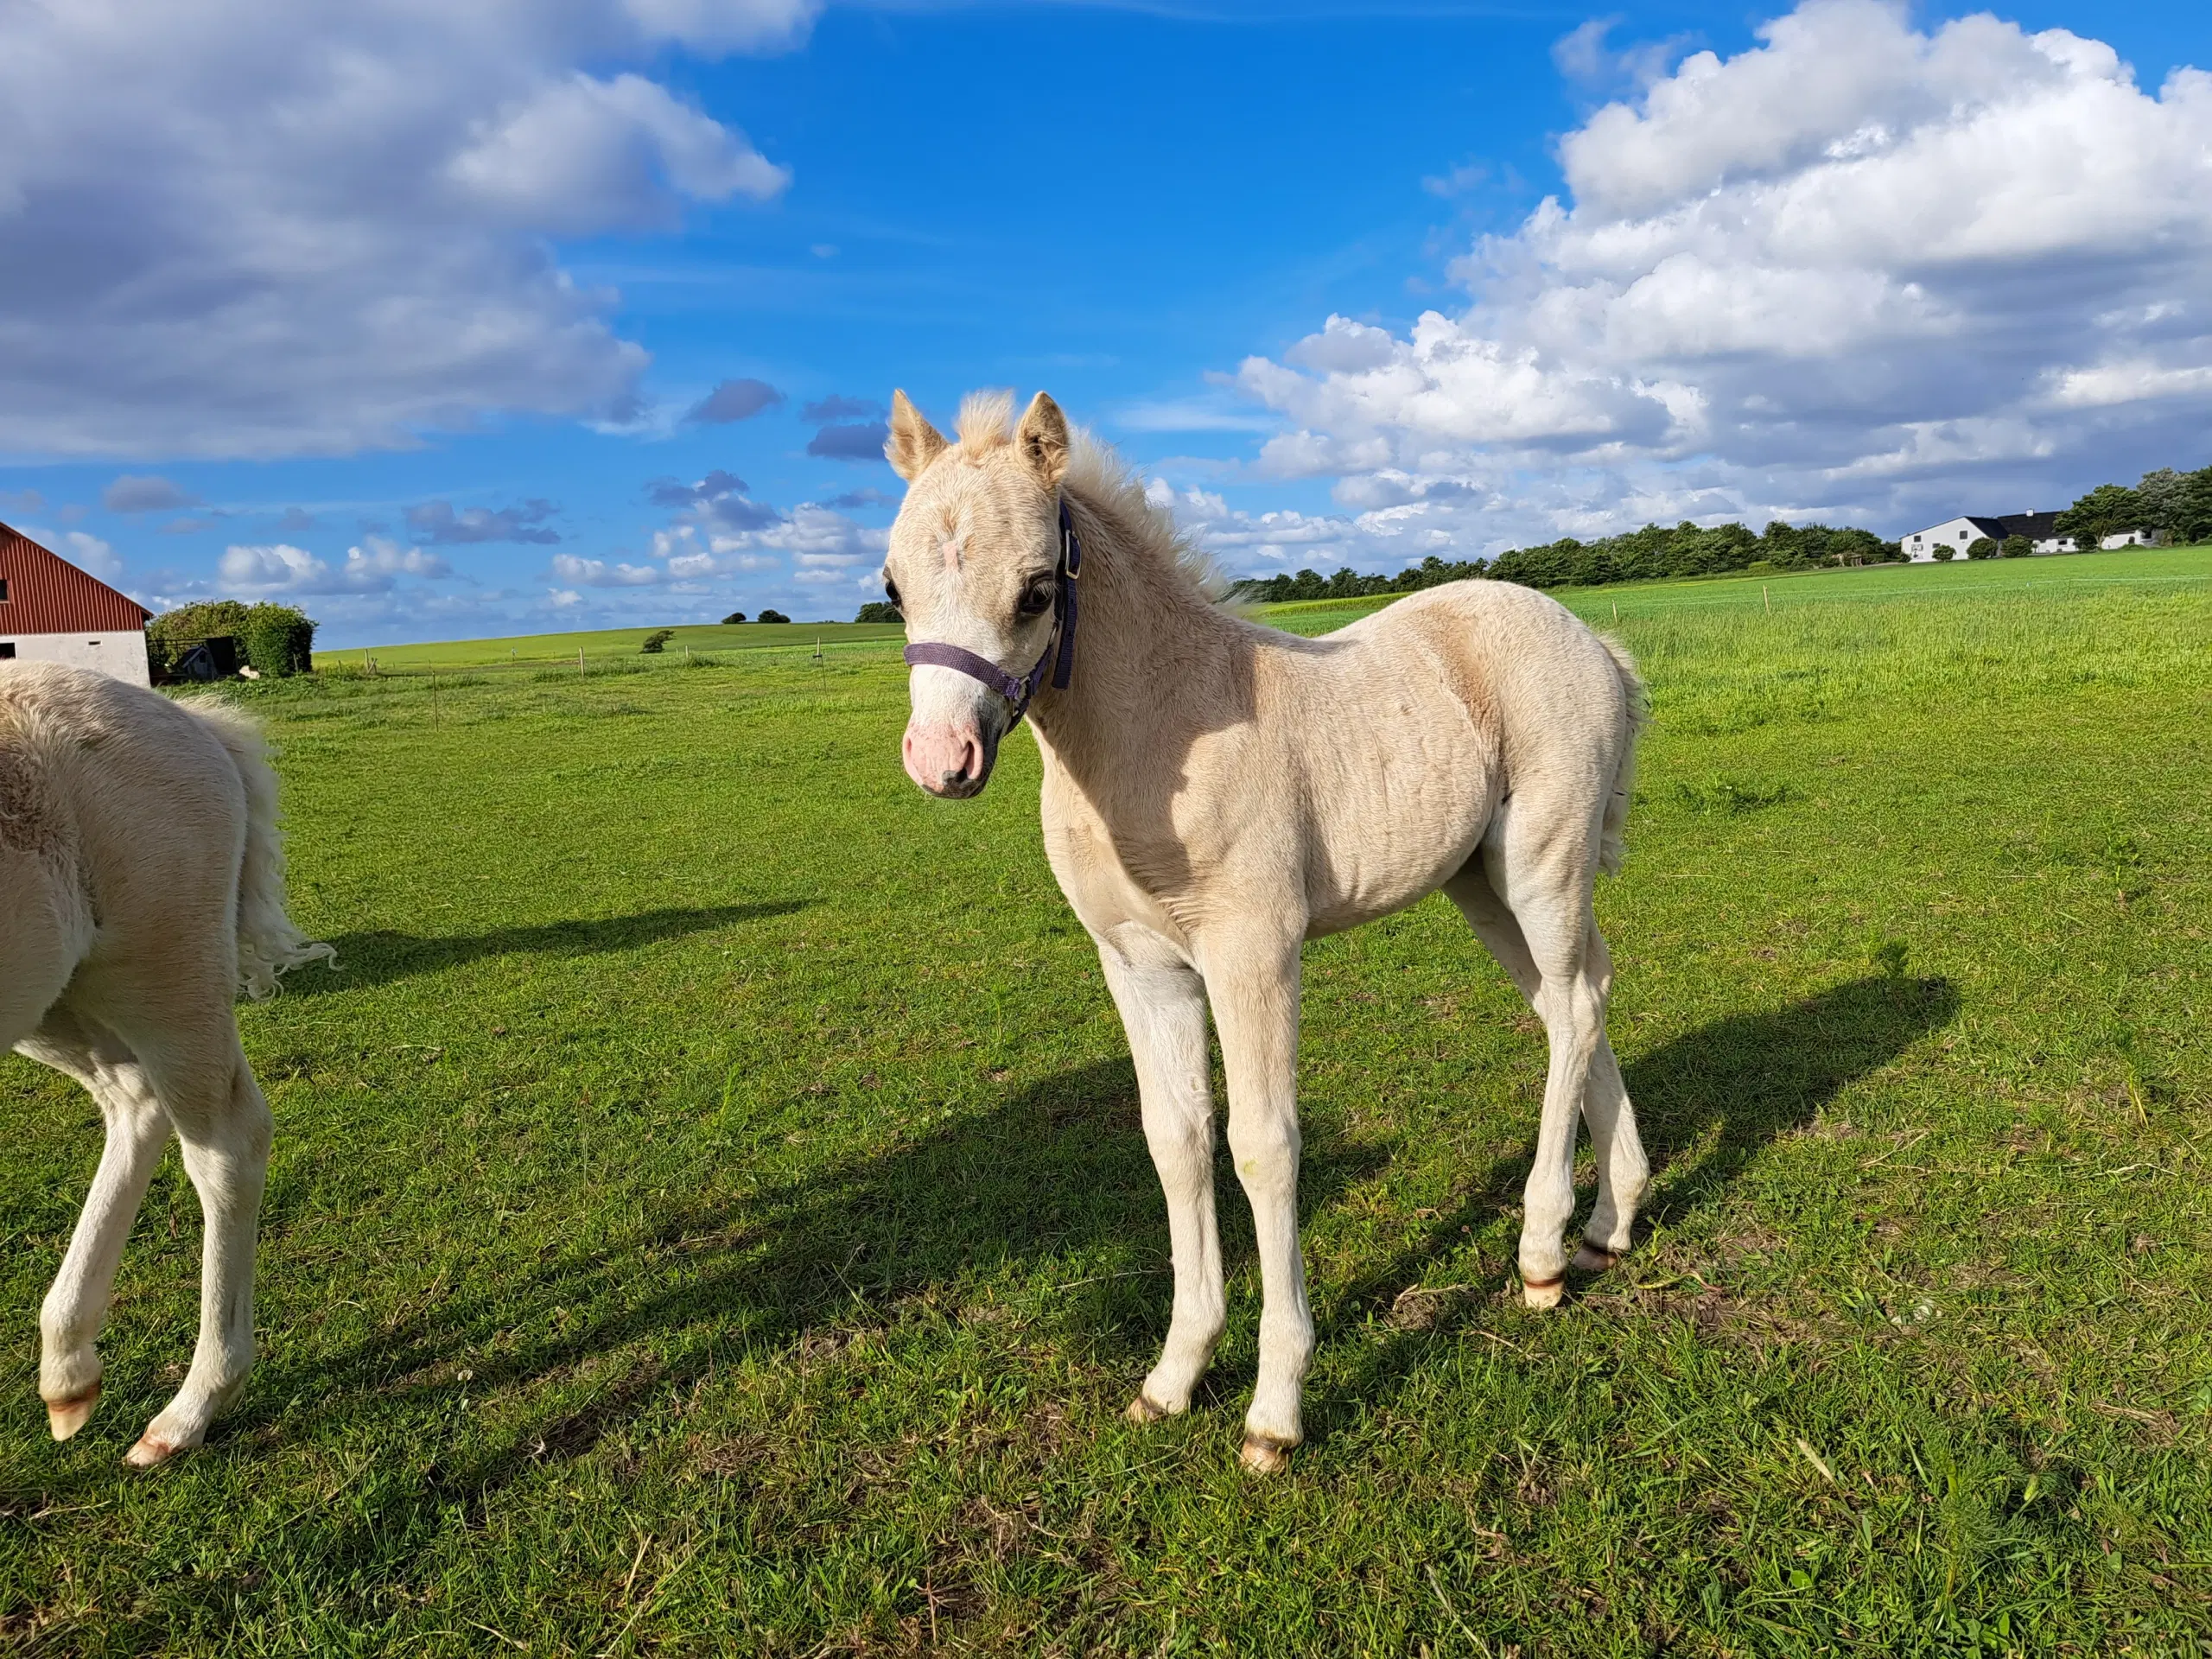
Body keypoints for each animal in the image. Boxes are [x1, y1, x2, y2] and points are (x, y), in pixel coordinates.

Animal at [0, 664, 329, 1468]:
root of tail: (190, 718)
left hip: (162, 975)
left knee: (225, 1145)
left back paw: (191, 1408)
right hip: (56, 996)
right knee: (133, 1101)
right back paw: (68, 1368)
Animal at [875, 393, 1645, 1478]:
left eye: (1034, 592)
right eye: (892, 588)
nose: (941, 760)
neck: (1153, 737)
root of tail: (1588, 639)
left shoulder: (1253, 954)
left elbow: (1263, 1147)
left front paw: (1274, 1408)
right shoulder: (1139, 967)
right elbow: (1176, 1141)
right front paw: (1172, 1376)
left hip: (1542, 861)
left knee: (1573, 1008)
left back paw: (1541, 1252)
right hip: (1480, 884)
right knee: (1577, 998)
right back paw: (1611, 1221)